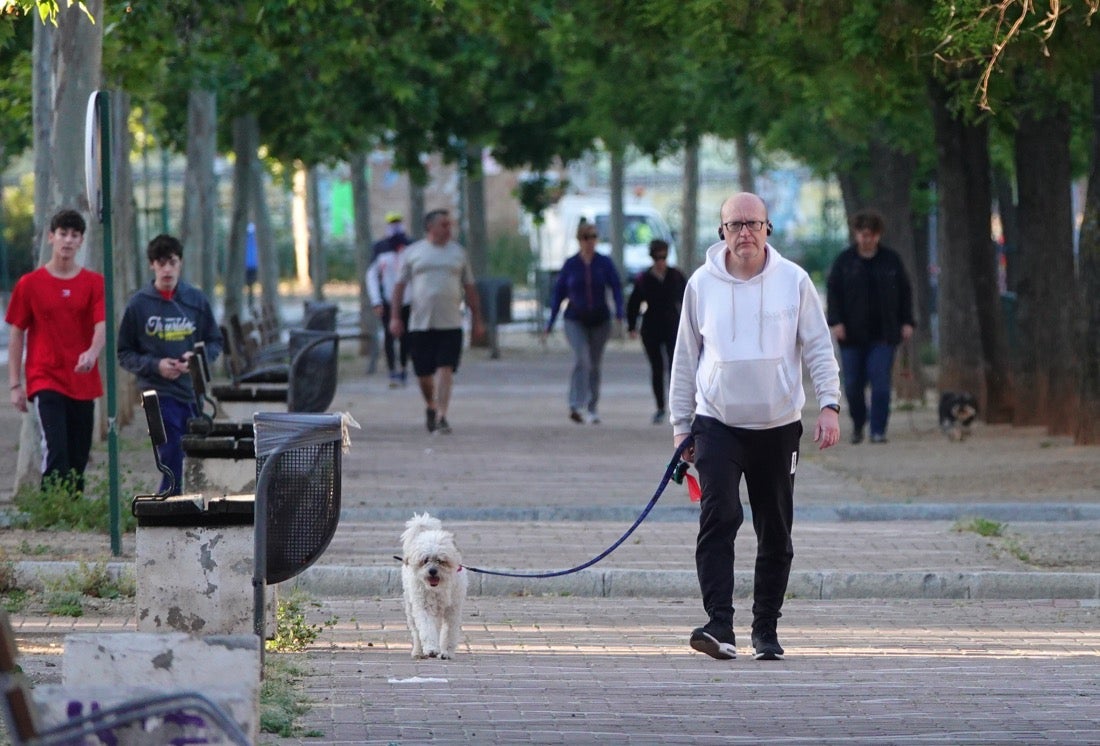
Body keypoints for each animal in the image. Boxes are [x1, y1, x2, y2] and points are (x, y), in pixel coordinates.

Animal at [398, 514, 466, 660]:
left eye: (441, 561)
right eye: (425, 560)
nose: (432, 571)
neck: (438, 588)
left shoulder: (452, 609)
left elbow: (449, 632)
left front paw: (447, 652)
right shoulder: (423, 607)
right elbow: (427, 629)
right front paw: (431, 649)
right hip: (411, 608)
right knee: (417, 632)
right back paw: (418, 652)